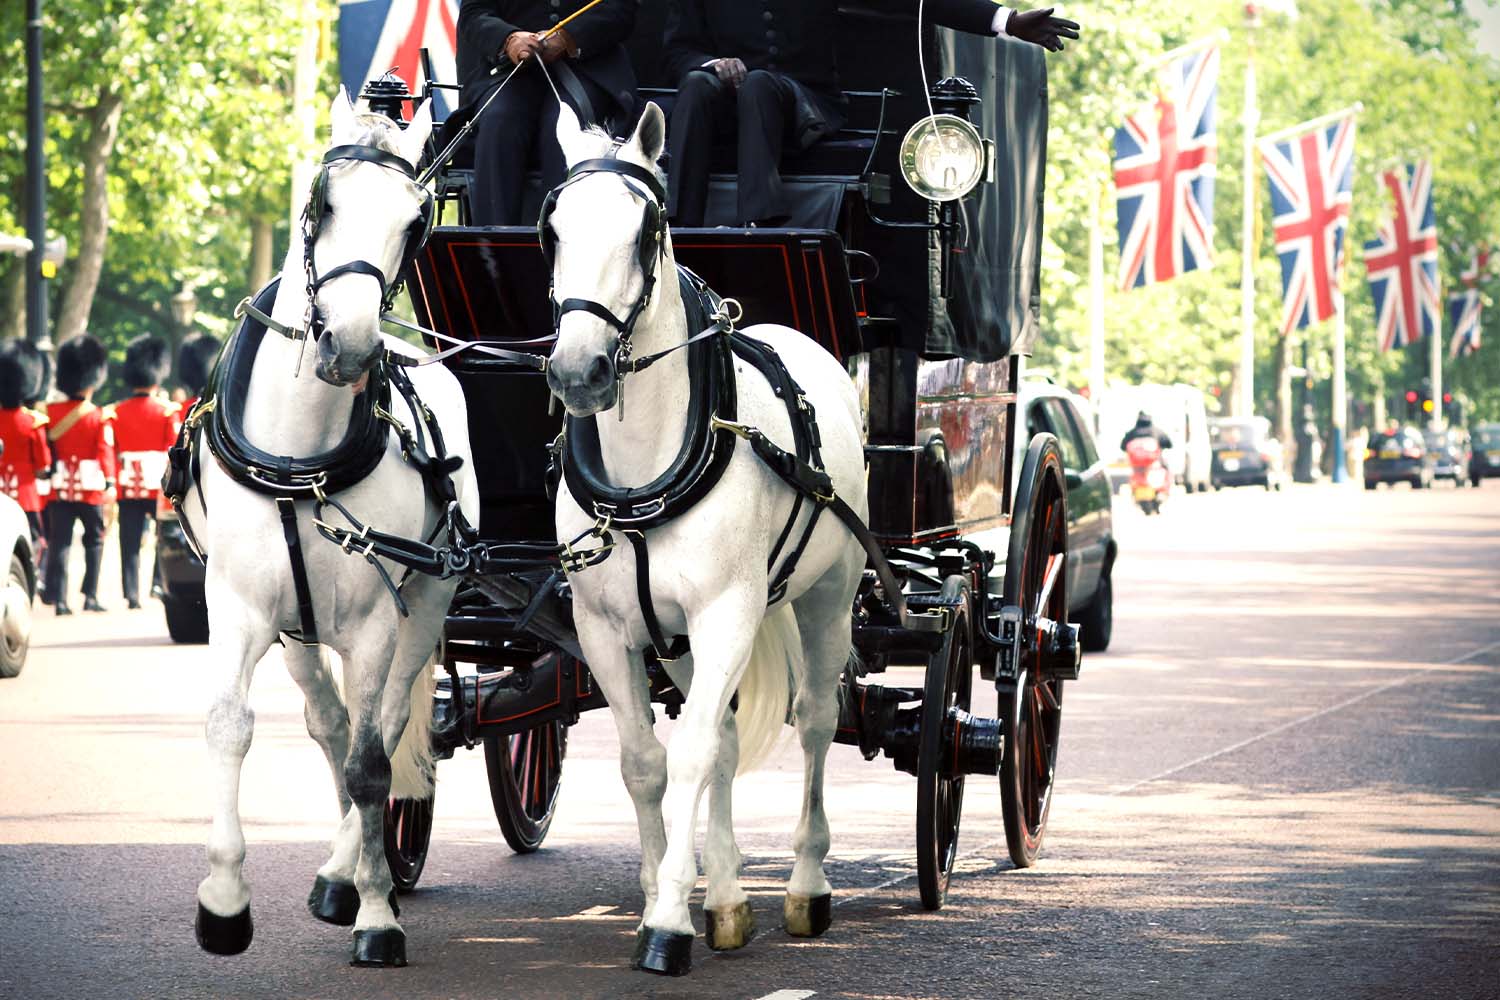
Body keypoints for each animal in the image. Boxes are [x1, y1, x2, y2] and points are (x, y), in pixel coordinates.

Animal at [182, 89, 478, 968]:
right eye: (322, 204)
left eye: (416, 221)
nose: (348, 345)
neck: (300, 457)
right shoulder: (237, 606)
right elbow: (232, 727)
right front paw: (223, 901)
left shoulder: (377, 621)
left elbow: (374, 763)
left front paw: (378, 916)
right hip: (300, 631)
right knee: (330, 724)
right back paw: (340, 869)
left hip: (426, 606)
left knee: (376, 731)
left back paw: (357, 876)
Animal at [544, 101, 868, 975]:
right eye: (552, 226)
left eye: (646, 229)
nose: (579, 373)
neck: (643, 474)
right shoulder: (607, 627)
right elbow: (648, 761)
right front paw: (673, 892)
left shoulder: (728, 611)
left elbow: (688, 753)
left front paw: (666, 923)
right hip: (687, 638)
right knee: (720, 737)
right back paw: (724, 896)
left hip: (827, 596)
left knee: (817, 720)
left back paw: (807, 884)